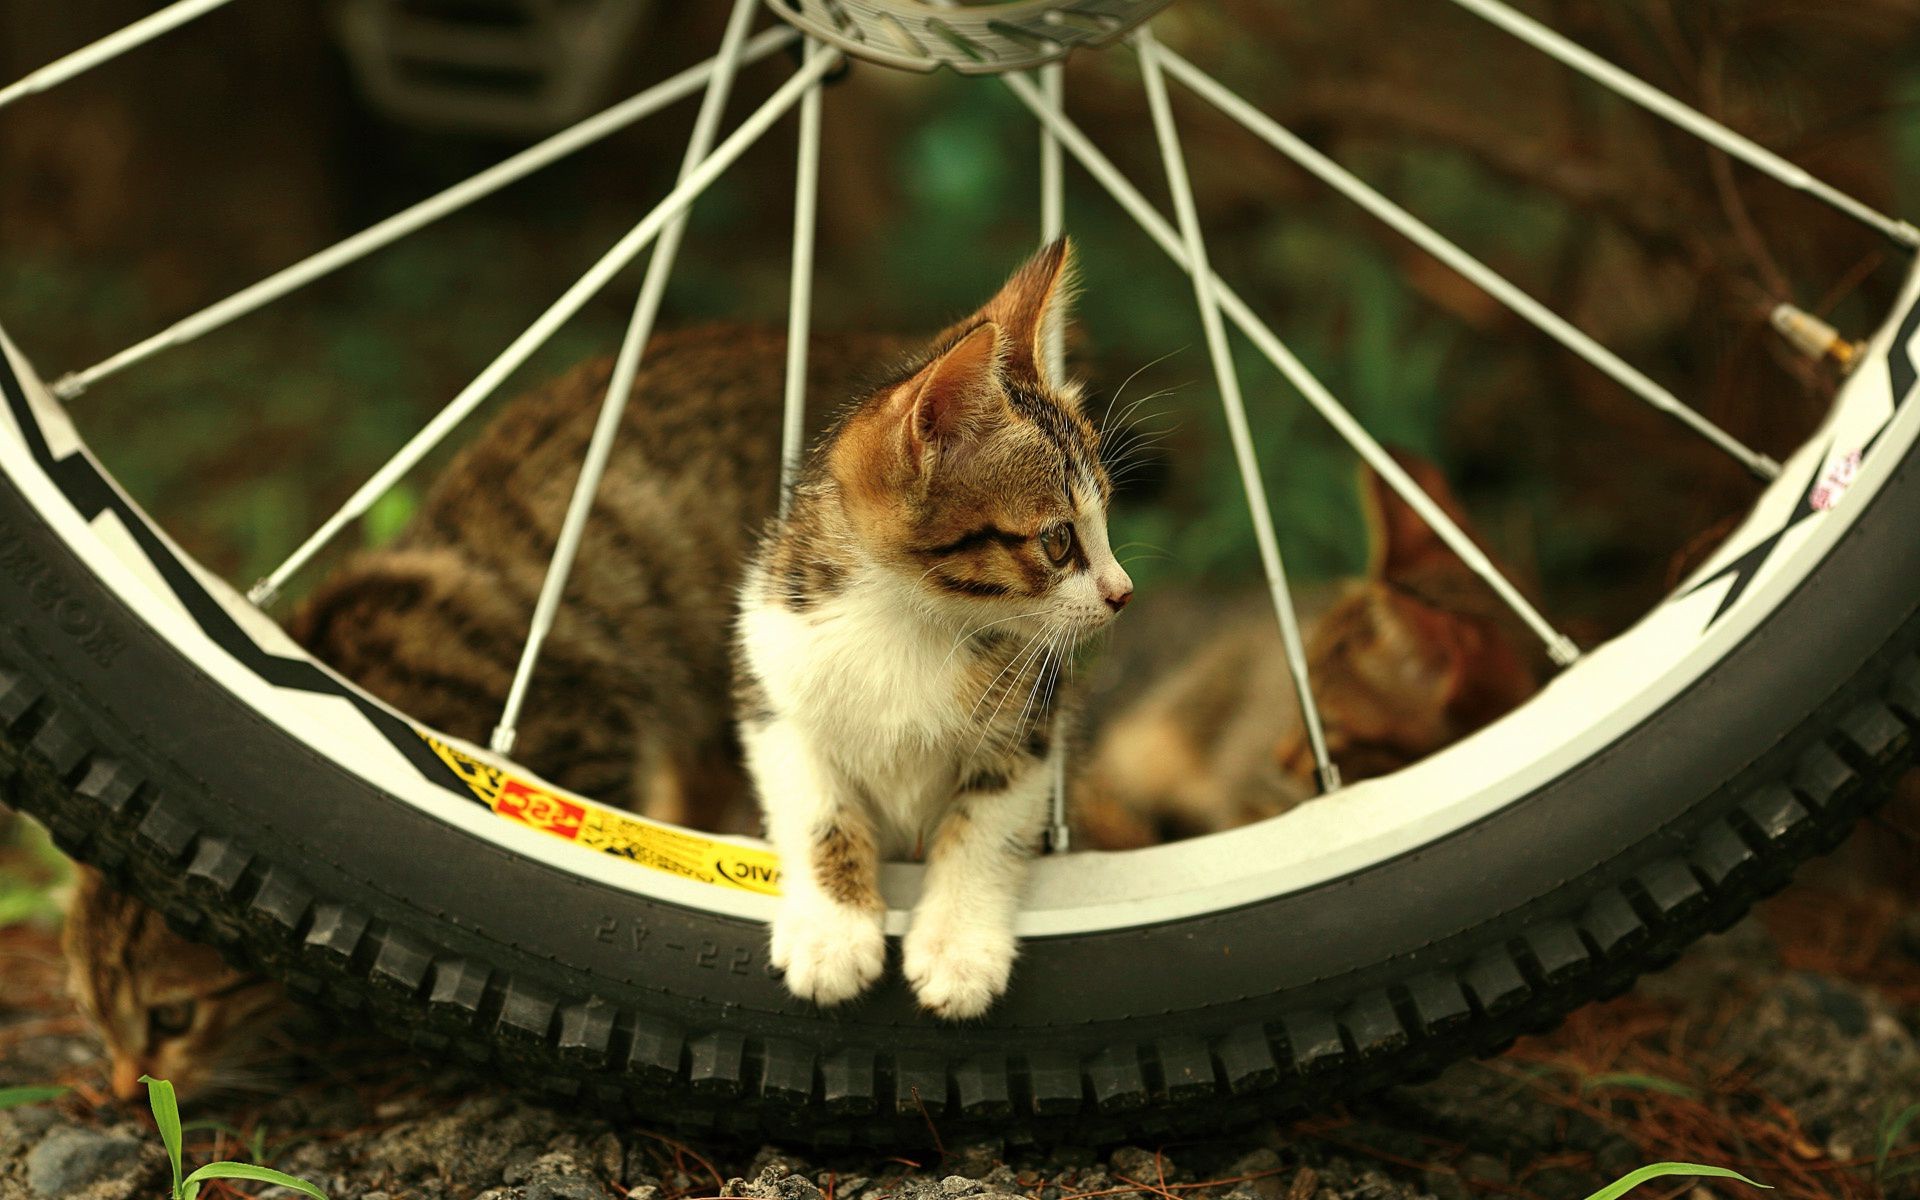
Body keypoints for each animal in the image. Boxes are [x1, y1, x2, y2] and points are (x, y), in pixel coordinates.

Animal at [729, 239, 1121, 1013]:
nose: (1123, 592)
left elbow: (984, 826)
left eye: (1106, 515)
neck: (911, 620)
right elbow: (816, 807)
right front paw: (832, 932)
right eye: (1059, 540)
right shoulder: (772, 683)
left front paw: (958, 947)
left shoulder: (1032, 725)